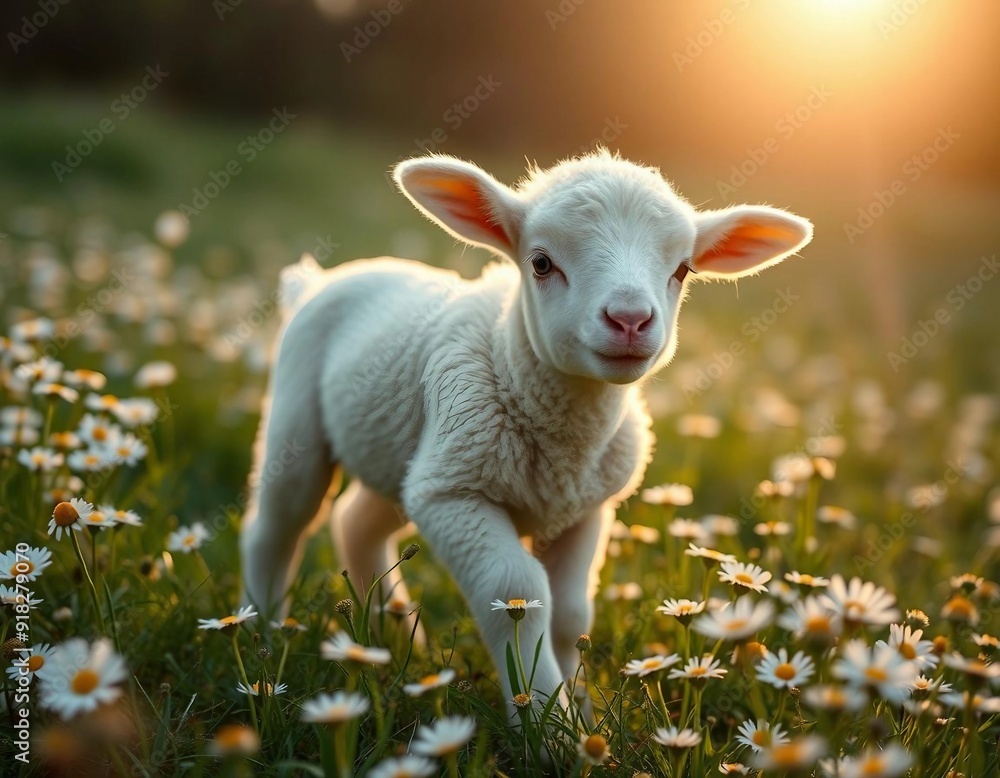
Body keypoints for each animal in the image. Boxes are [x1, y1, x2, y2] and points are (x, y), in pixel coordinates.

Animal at [239, 150, 812, 715]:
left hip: (400, 452)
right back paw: (263, 632)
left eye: (683, 269)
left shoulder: (584, 508)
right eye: (541, 262)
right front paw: (542, 715)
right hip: (299, 420)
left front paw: (580, 710)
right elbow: (516, 591)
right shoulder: (453, 494)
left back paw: (393, 643)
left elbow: (572, 613)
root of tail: (321, 281)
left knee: (356, 522)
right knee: (278, 523)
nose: (630, 319)